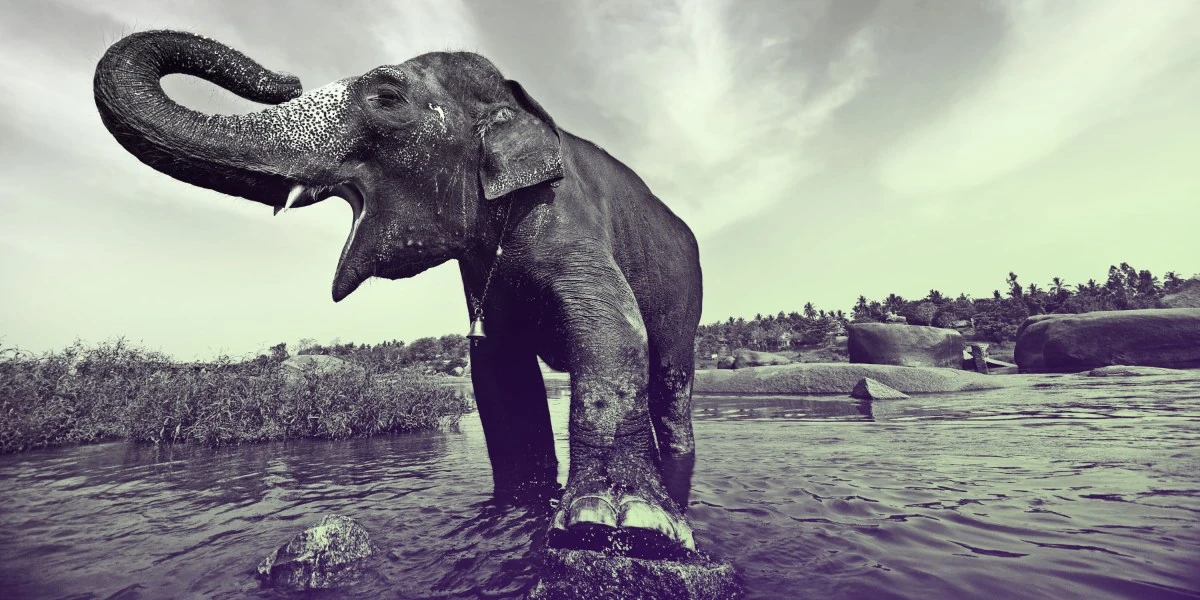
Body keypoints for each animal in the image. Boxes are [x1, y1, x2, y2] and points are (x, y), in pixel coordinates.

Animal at [94, 31, 703, 553]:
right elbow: (497, 368)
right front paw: (522, 508)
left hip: (687, 299)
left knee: (671, 382)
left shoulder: (563, 213)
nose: (285, 79)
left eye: (386, 97)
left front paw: (617, 524)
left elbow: (612, 324)